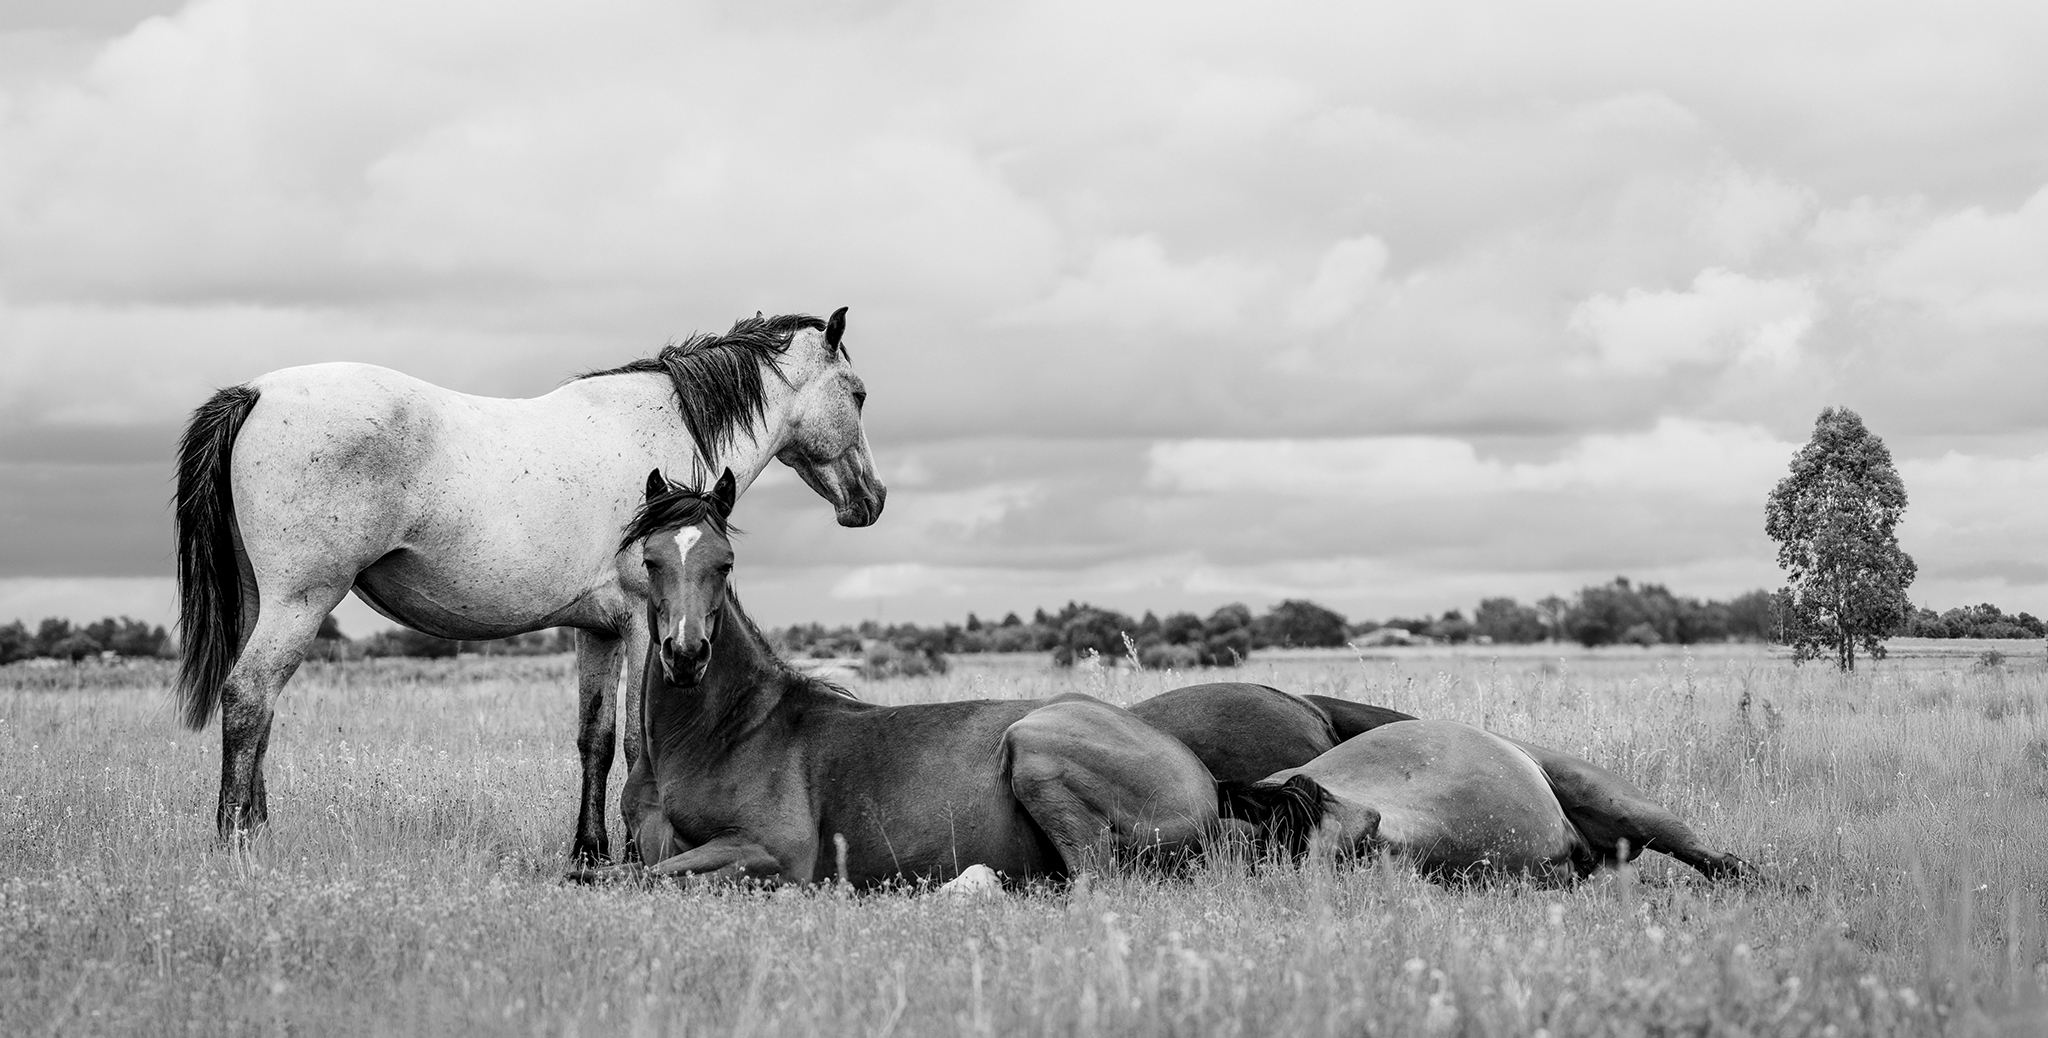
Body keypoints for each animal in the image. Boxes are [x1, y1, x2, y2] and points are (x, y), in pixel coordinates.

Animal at [173, 309, 886, 863]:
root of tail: (257, 393)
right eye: (857, 395)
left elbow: (596, 740)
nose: (871, 500)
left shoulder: (597, 632)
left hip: (265, 604)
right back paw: (235, 841)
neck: (663, 431)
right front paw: (635, 857)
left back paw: (259, 831)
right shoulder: (641, 622)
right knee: (248, 697)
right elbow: (637, 740)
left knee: (262, 709)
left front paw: (590, 852)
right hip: (299, 603)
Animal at [584, 470, 1297, 887]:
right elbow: (622, 873)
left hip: (1035, 747)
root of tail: (1206, 784)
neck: (720, 737)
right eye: (651, 559)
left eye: (725, 561)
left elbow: (634, 879)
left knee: (1091, 880)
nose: (685, 655)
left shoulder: (775, 855)